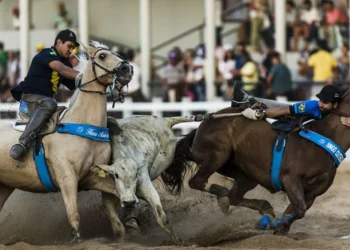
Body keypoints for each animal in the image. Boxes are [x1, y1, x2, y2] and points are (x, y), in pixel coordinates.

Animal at [0, 42, 133, 243]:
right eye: (102, 56)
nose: (127, 69)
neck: (82, 123)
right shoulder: (67, 178)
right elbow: (73, 214)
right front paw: (75, 239)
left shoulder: (93, 177)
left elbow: (117, 193)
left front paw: (123, 228)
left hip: (4, 186)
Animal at [161, 94, 350, 235]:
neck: (323, 137)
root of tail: (201, 126)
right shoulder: (290, 178)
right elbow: (298, 209)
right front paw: (271, 223)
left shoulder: (312, 193)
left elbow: (297, 211)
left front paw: (277, 226)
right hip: (218, 154)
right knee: (198, 182)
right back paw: (222, 193)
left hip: (246, 175)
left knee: (234, 196)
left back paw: (259, 207)